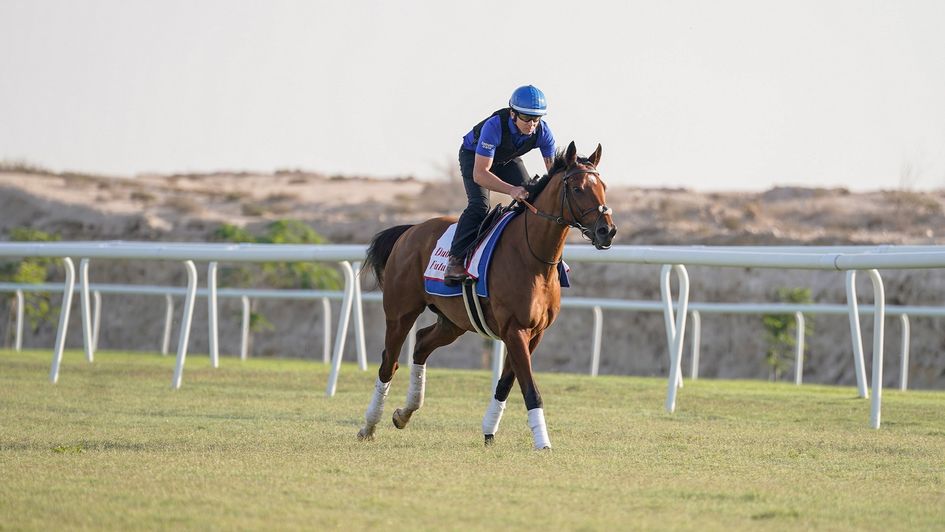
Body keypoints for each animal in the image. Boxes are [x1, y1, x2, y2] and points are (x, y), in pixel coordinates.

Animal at [352, 141, 612, 448]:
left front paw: (489, 430)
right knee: (388, 364)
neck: (533, 257)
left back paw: (405, 413)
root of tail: (410, 231)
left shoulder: (534, 333)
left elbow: (506, 383)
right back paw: (369, 425)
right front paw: (543, 443)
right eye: (578, 189)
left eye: (603, 186)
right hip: (400, 313)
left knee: (421, 344)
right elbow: (530, 388)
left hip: (453, 322)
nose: (607, 230)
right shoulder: (515, 329)